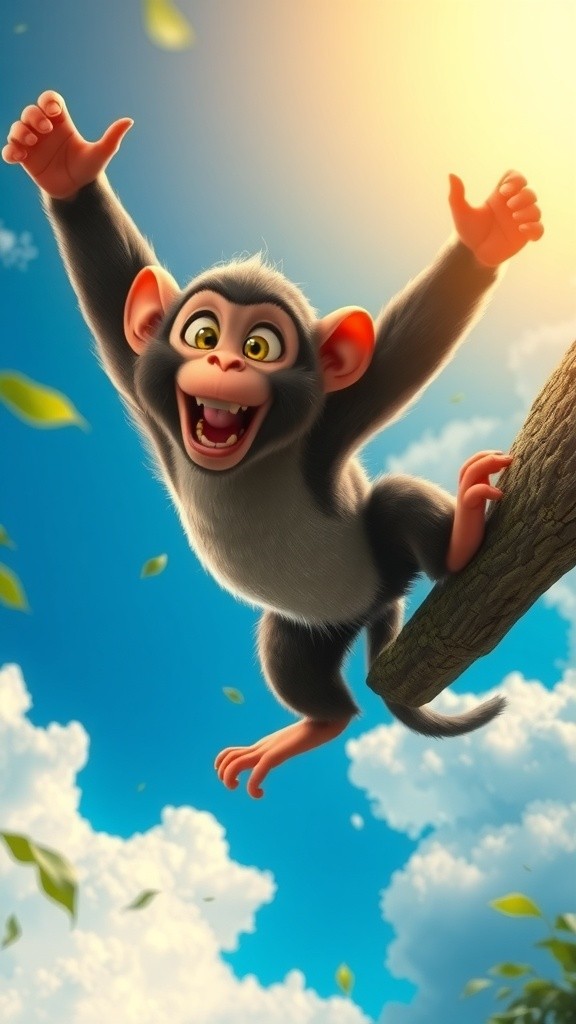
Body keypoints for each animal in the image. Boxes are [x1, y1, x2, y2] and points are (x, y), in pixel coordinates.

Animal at [3, 91, 544, 798]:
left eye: (260, 346)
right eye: (203, 335)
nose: (227, 363)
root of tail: (378, 604)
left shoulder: (326, 430)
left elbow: (396, 364)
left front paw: (486, 237)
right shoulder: (151, 399)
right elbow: (113, 294)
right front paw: (61, 163)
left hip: (383, 562)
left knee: (399, 503)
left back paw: (460, 538)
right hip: (310, 629)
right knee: (296, 667)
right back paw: (315, 724)